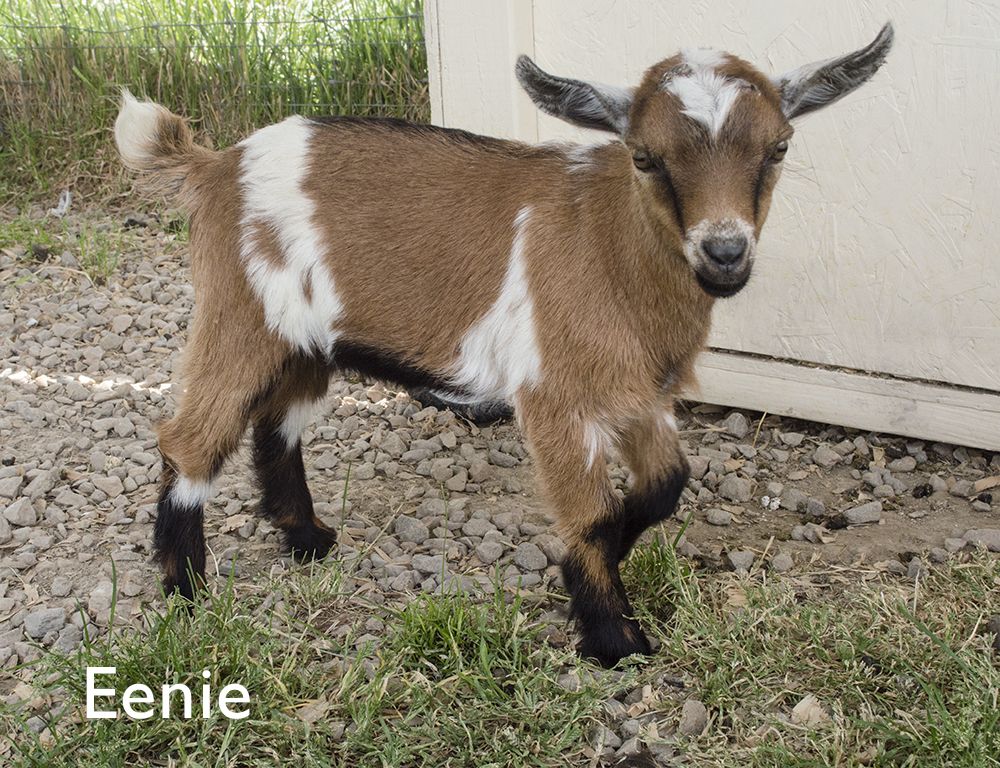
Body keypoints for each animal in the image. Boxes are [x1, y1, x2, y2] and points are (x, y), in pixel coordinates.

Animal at [114, 23, 892, 667]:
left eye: (779, 149)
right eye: (645, 157)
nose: (724, 253)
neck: (607, 247)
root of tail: (216, 165)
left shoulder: (638, 395)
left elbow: (665, 486)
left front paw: (616, 555)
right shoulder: (555, 395)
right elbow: (589, 513)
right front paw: (614, 640)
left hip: (306, 342)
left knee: (277, 423)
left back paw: (307, 540)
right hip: (237, 317)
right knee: (189, 436)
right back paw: (187, 587)